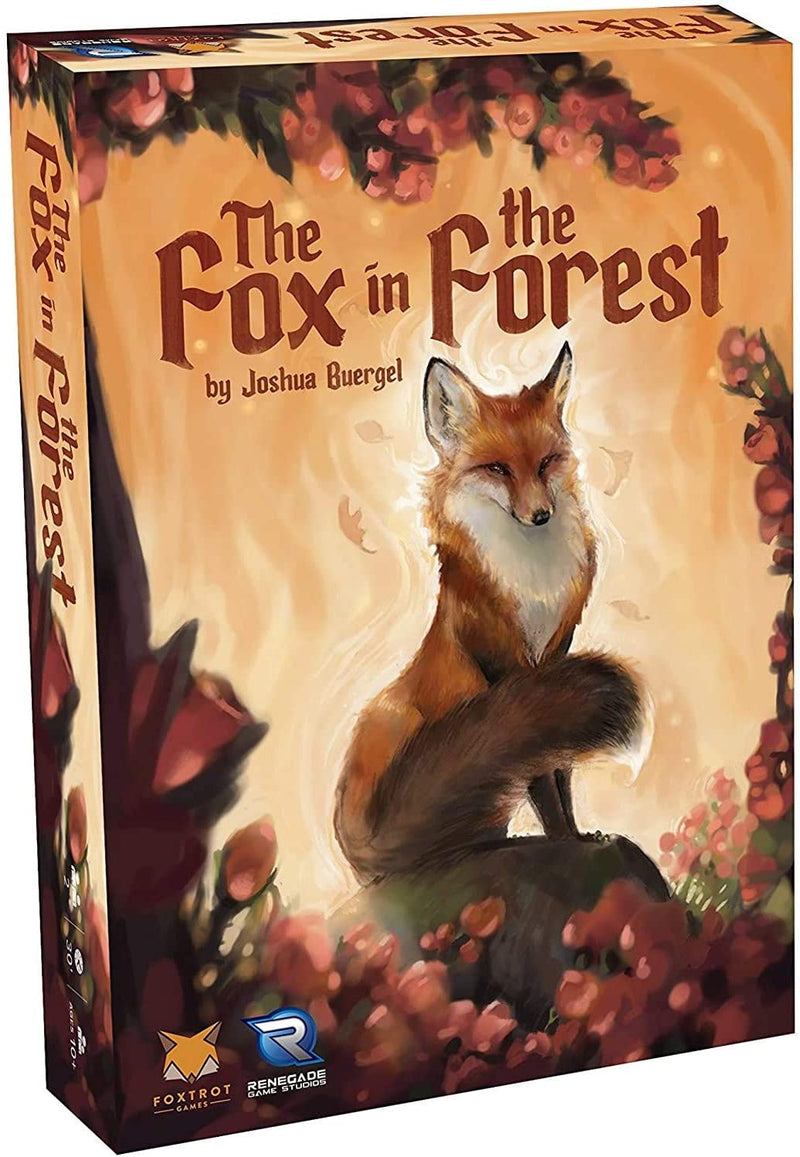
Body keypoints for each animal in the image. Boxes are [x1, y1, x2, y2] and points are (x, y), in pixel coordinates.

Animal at [335, 343, 646, 884]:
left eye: (546, 463)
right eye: (498, 469)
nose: (540, 515)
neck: (532, 583)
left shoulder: (554, 663)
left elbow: (560, 769)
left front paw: (576, 836)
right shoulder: (507, 667)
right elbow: (542, 781)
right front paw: (563, 842)